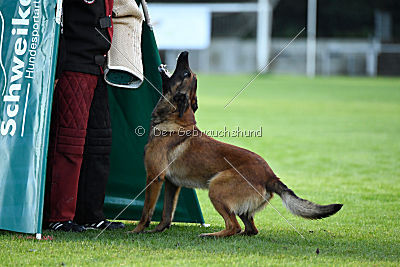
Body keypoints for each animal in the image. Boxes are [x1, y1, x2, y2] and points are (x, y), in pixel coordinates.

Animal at [133, 51, 342, 238]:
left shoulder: (155, 177)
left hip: (216, 188)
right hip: (238, 205)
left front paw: (137, 230)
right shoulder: (172, 184)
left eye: (186, 73)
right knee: (250, 229)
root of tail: (270, 175)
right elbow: (166, 215)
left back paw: (211, 235)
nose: (185, 52)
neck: (176, 119)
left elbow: (146, 211)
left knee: (234, 226)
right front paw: (158, 230)